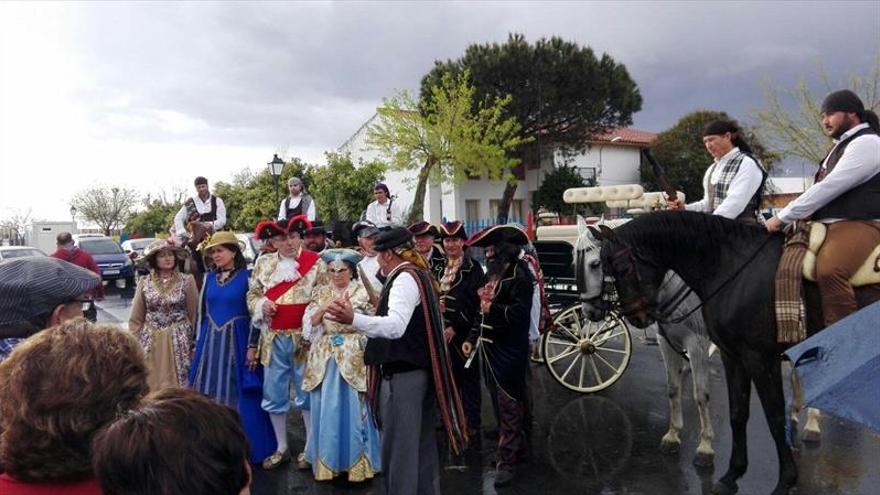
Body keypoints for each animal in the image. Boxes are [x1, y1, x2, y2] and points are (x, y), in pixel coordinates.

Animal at [576, 218, 716, 468]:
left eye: (595, 264)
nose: (589, 312)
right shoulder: (665, 340)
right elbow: (673, 388)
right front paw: (673, 435)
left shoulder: (697, 342)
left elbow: (701, 394)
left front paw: (705, 446)